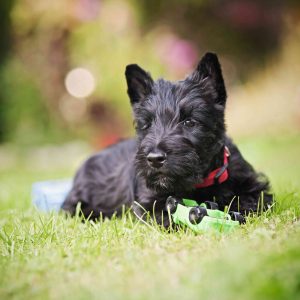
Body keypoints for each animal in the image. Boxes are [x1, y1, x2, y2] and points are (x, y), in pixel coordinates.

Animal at [61, 52, 272, 225]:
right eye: (146, 124)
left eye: (189, 122)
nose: (155, 159)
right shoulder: (149, 202)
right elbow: (167, 212)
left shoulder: (254, 188)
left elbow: (249, 200)